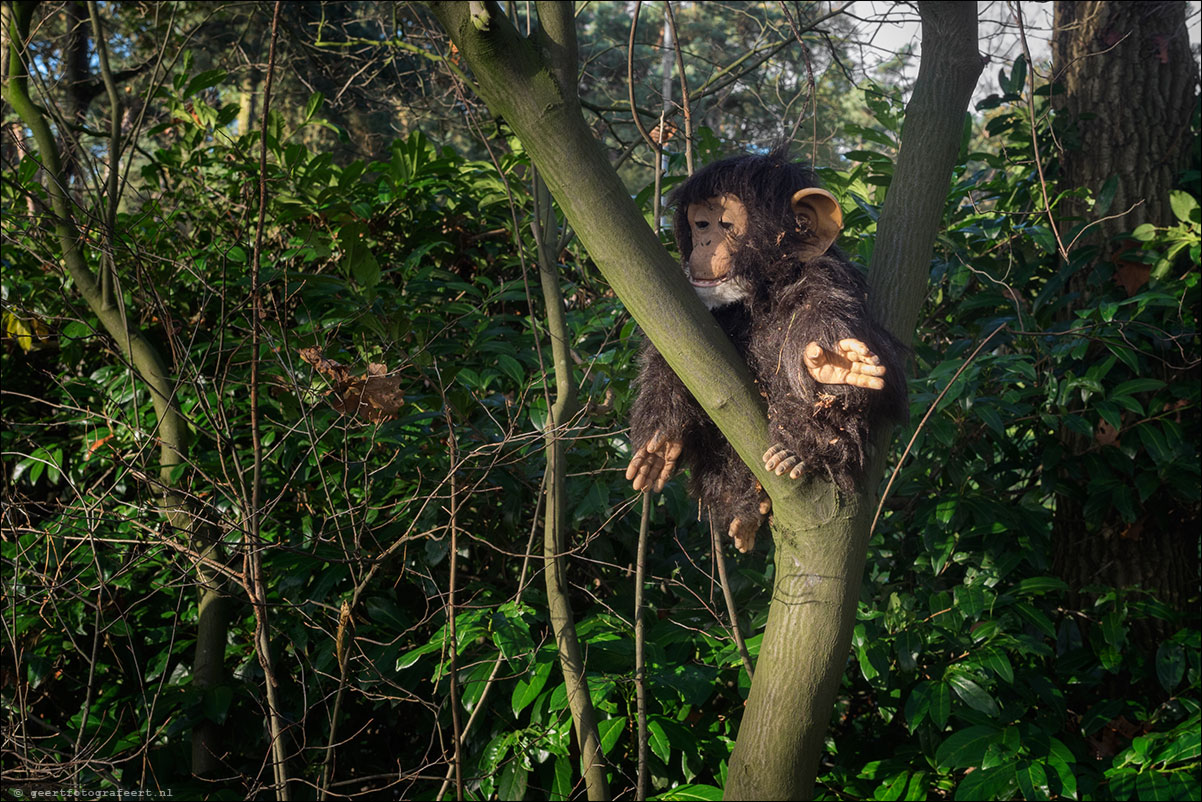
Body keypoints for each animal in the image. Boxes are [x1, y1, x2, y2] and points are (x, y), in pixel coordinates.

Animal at [629, 149, 903, 553]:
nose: (704, 243)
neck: (764, 291)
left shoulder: (825, 283)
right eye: (699, 223)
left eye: (724, 223)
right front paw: (662, 436)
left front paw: (838, 367)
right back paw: (745, 509)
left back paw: (795, 456)